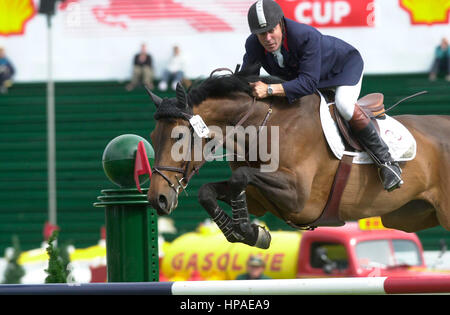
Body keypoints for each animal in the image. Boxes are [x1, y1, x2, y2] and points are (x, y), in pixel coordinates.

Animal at [146, 68, 448, 249]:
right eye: (151, 135)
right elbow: (210, 191)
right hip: (413, 216)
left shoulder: (299, 197)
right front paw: (246, 233)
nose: (157, 199)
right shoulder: (258, 198)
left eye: (179, 137)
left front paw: (249, 231)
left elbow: (239, 178)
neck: (262, 126)